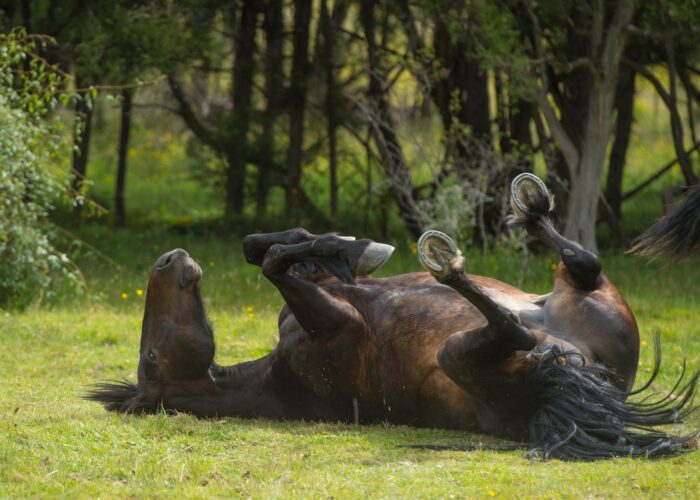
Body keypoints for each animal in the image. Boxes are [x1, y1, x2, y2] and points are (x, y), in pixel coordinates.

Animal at [87, 174, 697, 460]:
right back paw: (448, 261)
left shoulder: (320, 291)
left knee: (579, 262)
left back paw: (528, 203)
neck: (275, 376)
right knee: (514, 322)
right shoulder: (341, 327)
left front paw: (353, 246)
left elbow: (265, 248)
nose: (169, 260)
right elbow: (275, 261)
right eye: (151, 357)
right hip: (469, 353)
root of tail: (581, 378)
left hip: (580, 294)